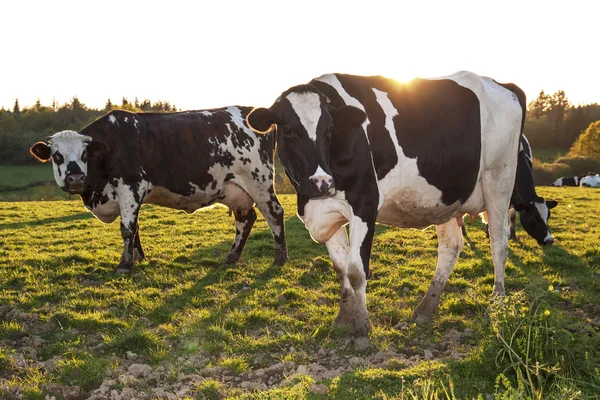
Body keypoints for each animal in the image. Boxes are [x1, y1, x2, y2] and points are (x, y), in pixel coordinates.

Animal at [29, 108, 288, 274]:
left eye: (84, 154)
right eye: (56, 156)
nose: (75, 178)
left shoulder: (130, 186)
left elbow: (127, 228)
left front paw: (124, 265)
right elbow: (135, 228)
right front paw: (139, 258)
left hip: (258, 180)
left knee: (274, 213)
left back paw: (280, 258)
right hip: (235, 190)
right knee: (246, 219)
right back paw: (230, 257)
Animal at [246, 72, 540, 350]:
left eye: (329, 130)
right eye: (288, 130)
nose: (322, 182)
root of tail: (501, 84)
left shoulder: (365, 204)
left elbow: (356, 271)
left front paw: (362, 330)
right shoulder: (325, 211)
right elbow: (340, 268)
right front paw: (343, 317)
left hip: (499, 179)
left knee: (499, 242)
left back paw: (496, 305)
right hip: (449, 196)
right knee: (451, 248)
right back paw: (426, 308)